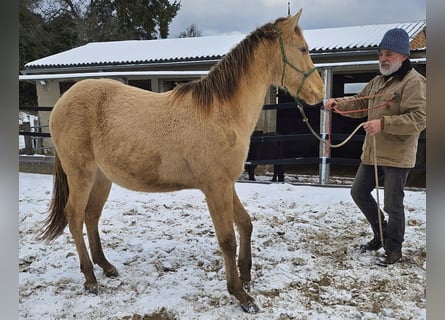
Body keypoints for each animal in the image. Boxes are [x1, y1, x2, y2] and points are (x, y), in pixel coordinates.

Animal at [38, 9, 322, 312]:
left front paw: (246, 276)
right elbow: (227, 239)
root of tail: (61, 103)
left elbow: (245, 224)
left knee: (91, 216)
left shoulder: (227, 183)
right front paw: (240, 295)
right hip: (80, 174)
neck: (221, 112)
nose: (320, 92)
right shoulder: (215, 187)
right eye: (303, 49)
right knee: (75, 217)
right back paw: (90, 278)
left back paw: (106, 266)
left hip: (102, 178)